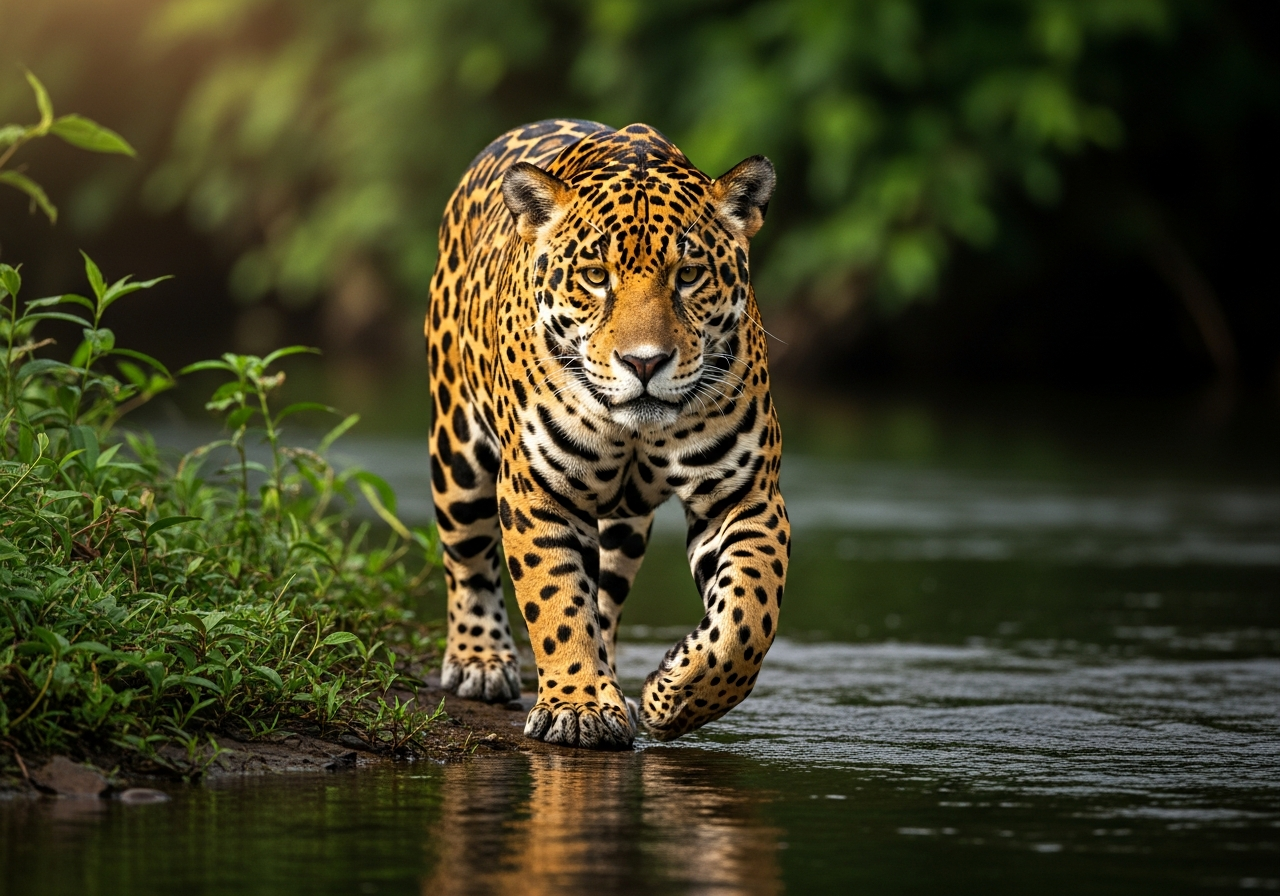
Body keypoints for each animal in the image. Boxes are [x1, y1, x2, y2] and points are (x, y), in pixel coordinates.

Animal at [425, 119, 790, 749]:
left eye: (688, 276)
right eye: (596, 278)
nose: (644, 362)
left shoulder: (744, 496)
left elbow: (749, 613)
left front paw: (675, 695)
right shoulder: (538, 491)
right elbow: (555, 601)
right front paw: (577, 707)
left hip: (624, 528)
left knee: (607, 596)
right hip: (457, 456)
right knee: (468, 560)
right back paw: (481, 662)